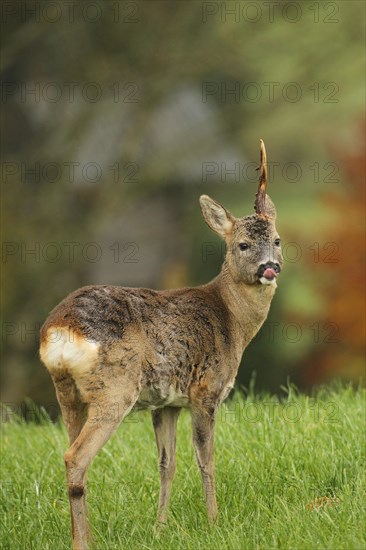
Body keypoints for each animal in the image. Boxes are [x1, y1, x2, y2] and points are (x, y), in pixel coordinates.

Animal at [39, 140, 284, 548]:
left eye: (277, 240)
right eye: (243, 244)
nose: (271, 267)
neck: (232, 320)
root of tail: (59, 328)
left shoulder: (165, 404)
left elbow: (166, 464)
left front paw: (160, 527)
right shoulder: (206, 390)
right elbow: (206, 458)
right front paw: (215, 523)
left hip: (67, 393)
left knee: (71, 454)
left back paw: (81, 534)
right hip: (115, 387)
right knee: (76, 457)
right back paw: (83, 541)